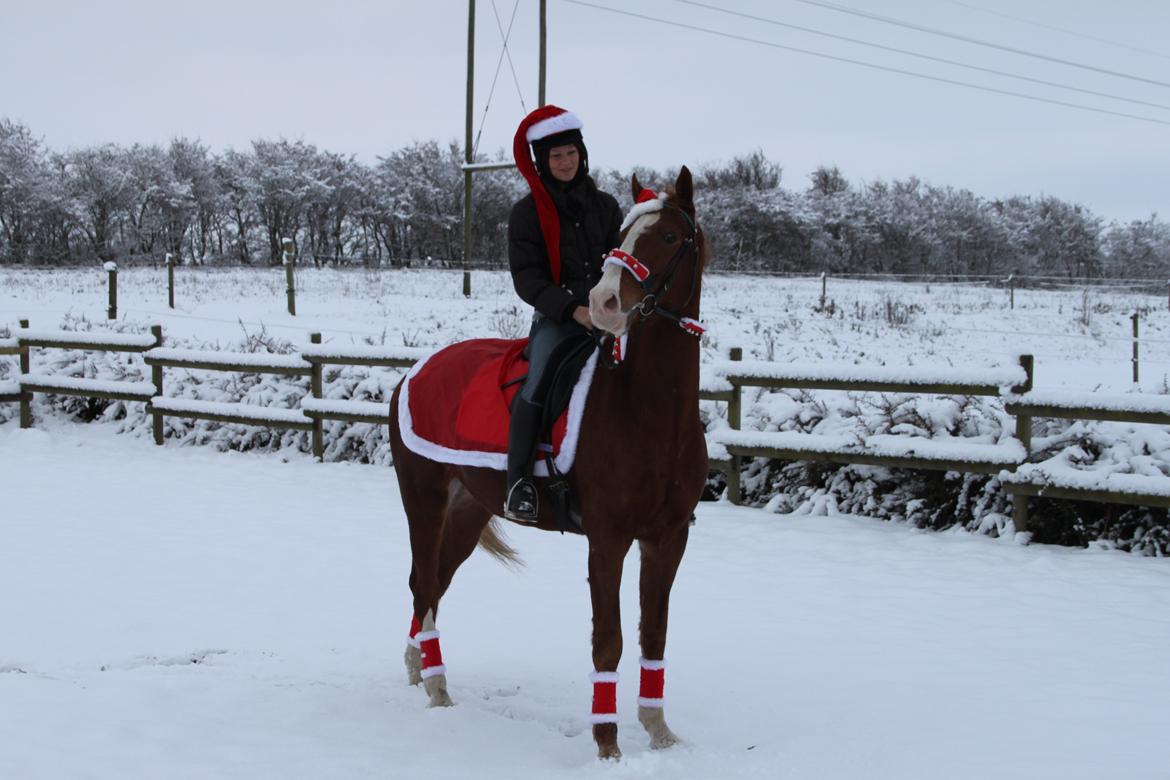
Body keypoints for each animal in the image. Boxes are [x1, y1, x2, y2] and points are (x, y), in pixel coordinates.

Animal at [388, 166, 706, 762]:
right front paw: (607, 746)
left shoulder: (667, 538)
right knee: (422, 585)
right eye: (623, 237)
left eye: (670, 236)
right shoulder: (608, 539)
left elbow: (654, 633)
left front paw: (659, 733)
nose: (604, 301)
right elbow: (608, 641)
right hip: (424, 502)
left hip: (466, 512)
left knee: (434, 583)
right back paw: (438, 688)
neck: (650, 408)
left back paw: (420, 667)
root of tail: (414, 371)